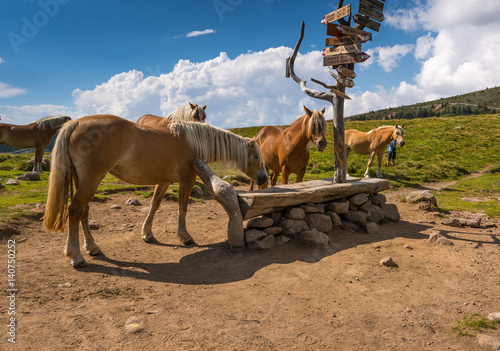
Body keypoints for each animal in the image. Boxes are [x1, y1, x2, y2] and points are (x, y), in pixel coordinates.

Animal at [44, 115, 270, 266]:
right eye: (256, 156)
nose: (264, 178)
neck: (193, 140)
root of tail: (76, 123)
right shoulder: (187, 179)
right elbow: (182, 206)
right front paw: (184, 236)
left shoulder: (164, 181)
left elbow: (155, 204)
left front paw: (148, 234)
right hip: (91, 180)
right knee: (74, 210)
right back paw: (76, 255)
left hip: (82, 181)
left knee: (83, 212)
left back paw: (92, 247)